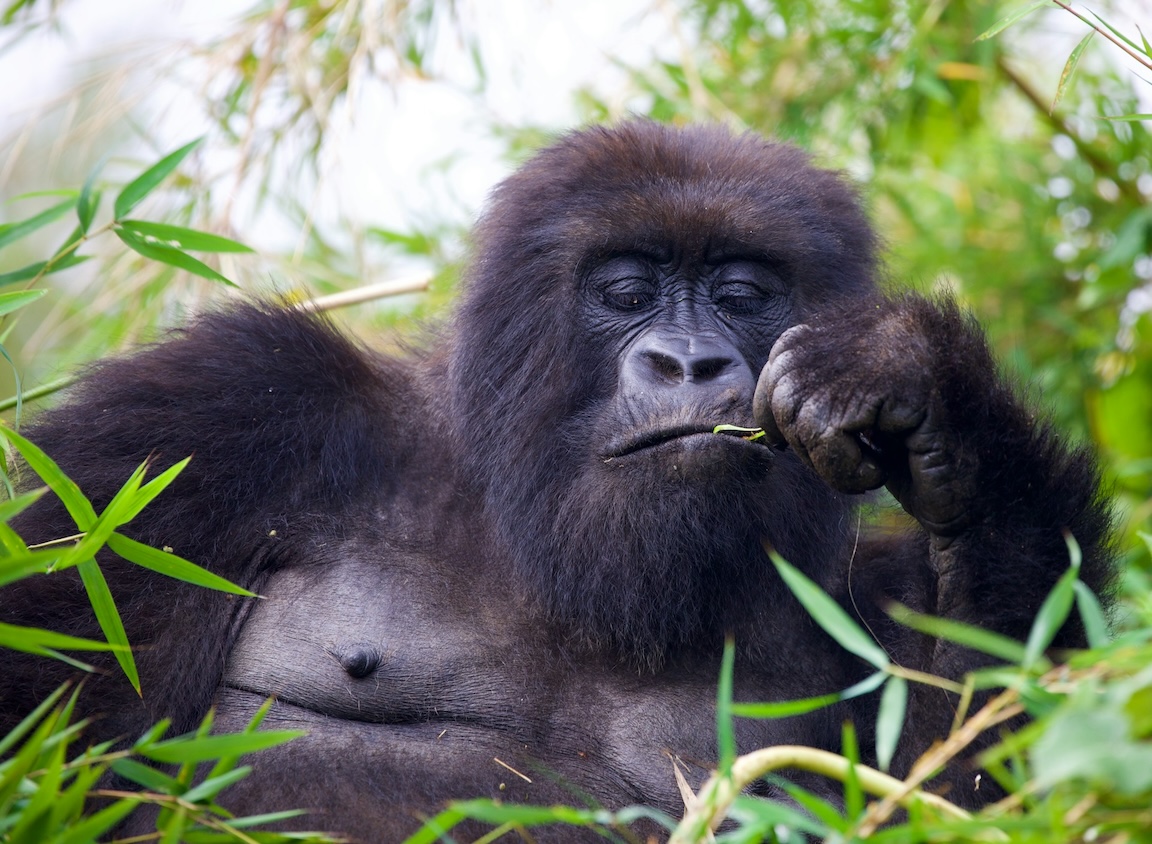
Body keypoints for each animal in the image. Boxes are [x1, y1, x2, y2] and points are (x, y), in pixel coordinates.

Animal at [0, 122, 1115, 838]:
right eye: (623, 291)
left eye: (741, 294)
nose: (688, 364)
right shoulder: (207, 423)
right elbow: (51, 723)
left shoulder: (868, 603)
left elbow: (992, 785)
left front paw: (928, 397)